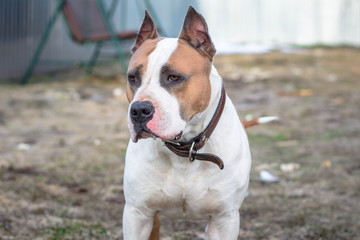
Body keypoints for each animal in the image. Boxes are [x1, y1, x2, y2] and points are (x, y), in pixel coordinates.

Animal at [122, 6, 274, 240]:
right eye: (132, 78)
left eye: (173, 77)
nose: (139, 110)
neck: (186, 149)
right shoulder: (137, 214)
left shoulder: (224, 219)